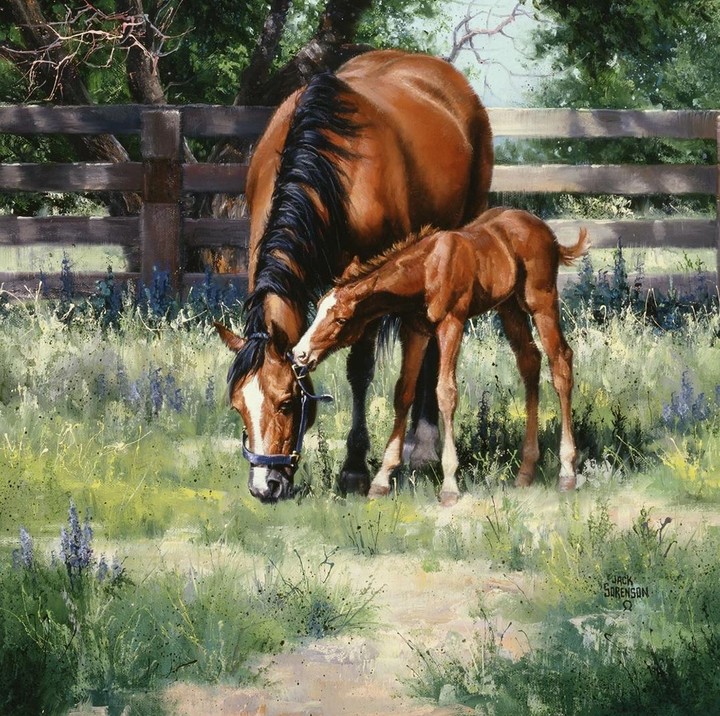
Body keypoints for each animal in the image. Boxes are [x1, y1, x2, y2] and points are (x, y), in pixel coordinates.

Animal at [214, 49, 493, 502]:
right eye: (238, 405)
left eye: (287, 402)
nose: (264, 486)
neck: (327, 169)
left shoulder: (366, 290)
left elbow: (359, 371)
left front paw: (355, 468)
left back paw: (424, 446)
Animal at [292, 208, 589, 505]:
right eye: (319, 306)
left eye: (341, 319)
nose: (299, 354)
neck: (427, 269)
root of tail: (546, 232)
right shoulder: (415, 330)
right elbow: (403, 393)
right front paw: (381, 479)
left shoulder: (451, 323)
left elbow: (446, 393)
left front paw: (449, 485)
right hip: (509, 308)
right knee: (529, 361)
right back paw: (526, 471)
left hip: (541, 302)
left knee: (560, 361)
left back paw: (567, 471)